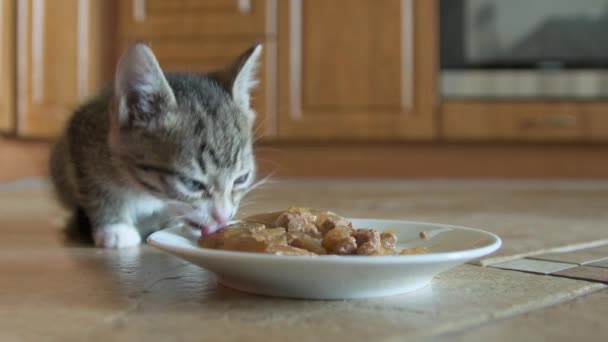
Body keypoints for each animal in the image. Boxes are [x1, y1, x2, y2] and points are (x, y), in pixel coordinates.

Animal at [50, 42, 262, 248]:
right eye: (192, 184)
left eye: (241, 179)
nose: (223, 217)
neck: (144, 191)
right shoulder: (82, 137)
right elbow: (96, 188)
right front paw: (115, 227)